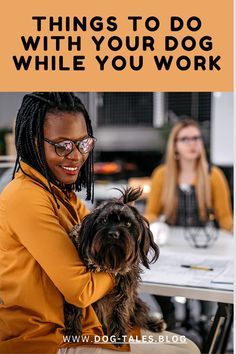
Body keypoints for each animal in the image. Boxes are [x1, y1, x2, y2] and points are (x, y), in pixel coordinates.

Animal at [64, 188, 164, 342]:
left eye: (128, 224)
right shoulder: (77, 288)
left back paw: (154, 323)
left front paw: (117, 334)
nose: (113, 234)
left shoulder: (125, 288)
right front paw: (73, 332)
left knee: (139, 314)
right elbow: (75, 307)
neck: (109, 261)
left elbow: (119, 309)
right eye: (104, 220)